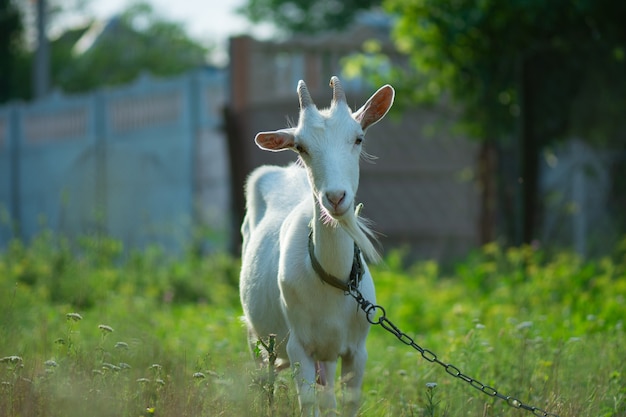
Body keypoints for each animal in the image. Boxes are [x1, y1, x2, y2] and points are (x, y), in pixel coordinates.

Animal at [240, 76, 394, 414]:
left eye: (358, 138)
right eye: (301, 147)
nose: (335, 197)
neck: (334, 280)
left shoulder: (357, 350)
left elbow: (348, 402)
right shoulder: (300, 347)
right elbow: (307, 402)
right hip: (257, 335)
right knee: (263, 378)